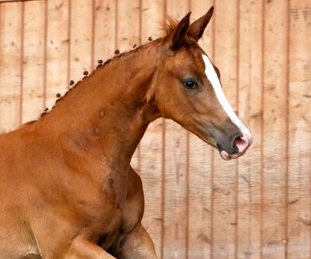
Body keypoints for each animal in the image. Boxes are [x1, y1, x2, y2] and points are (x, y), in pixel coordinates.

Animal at [0, 7, 254, 259]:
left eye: (217, 74)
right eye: (190, 82)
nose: (242, 139)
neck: (79, 155)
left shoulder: (132, 237)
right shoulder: (67, 246)